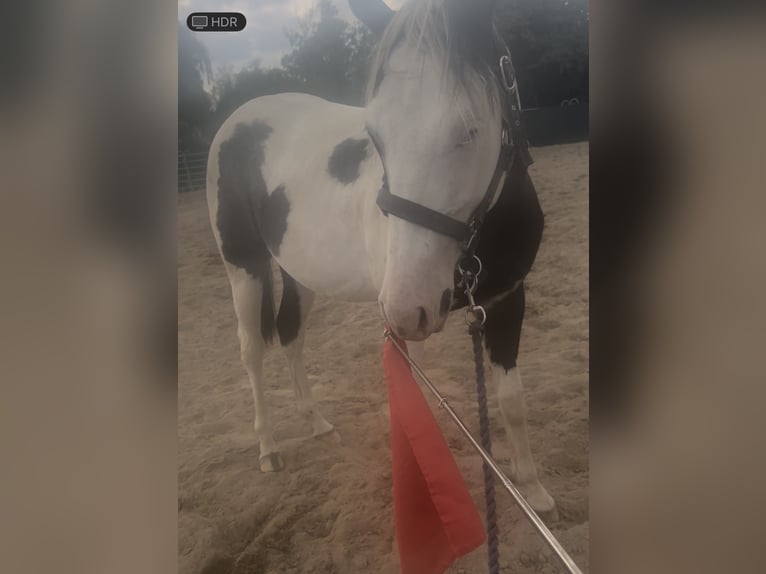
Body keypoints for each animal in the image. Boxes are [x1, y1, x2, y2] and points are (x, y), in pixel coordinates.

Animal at [205, 0, 556, 515]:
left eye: (471, 129)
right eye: (376, 134)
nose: (409, 304)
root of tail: (239, 119)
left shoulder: (507, 298)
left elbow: (513, 400)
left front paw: (533, 492)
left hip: (299, 271)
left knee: (291, 334)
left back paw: (316, 423)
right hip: (244, 266)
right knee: (251, 351)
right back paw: (268, 447)